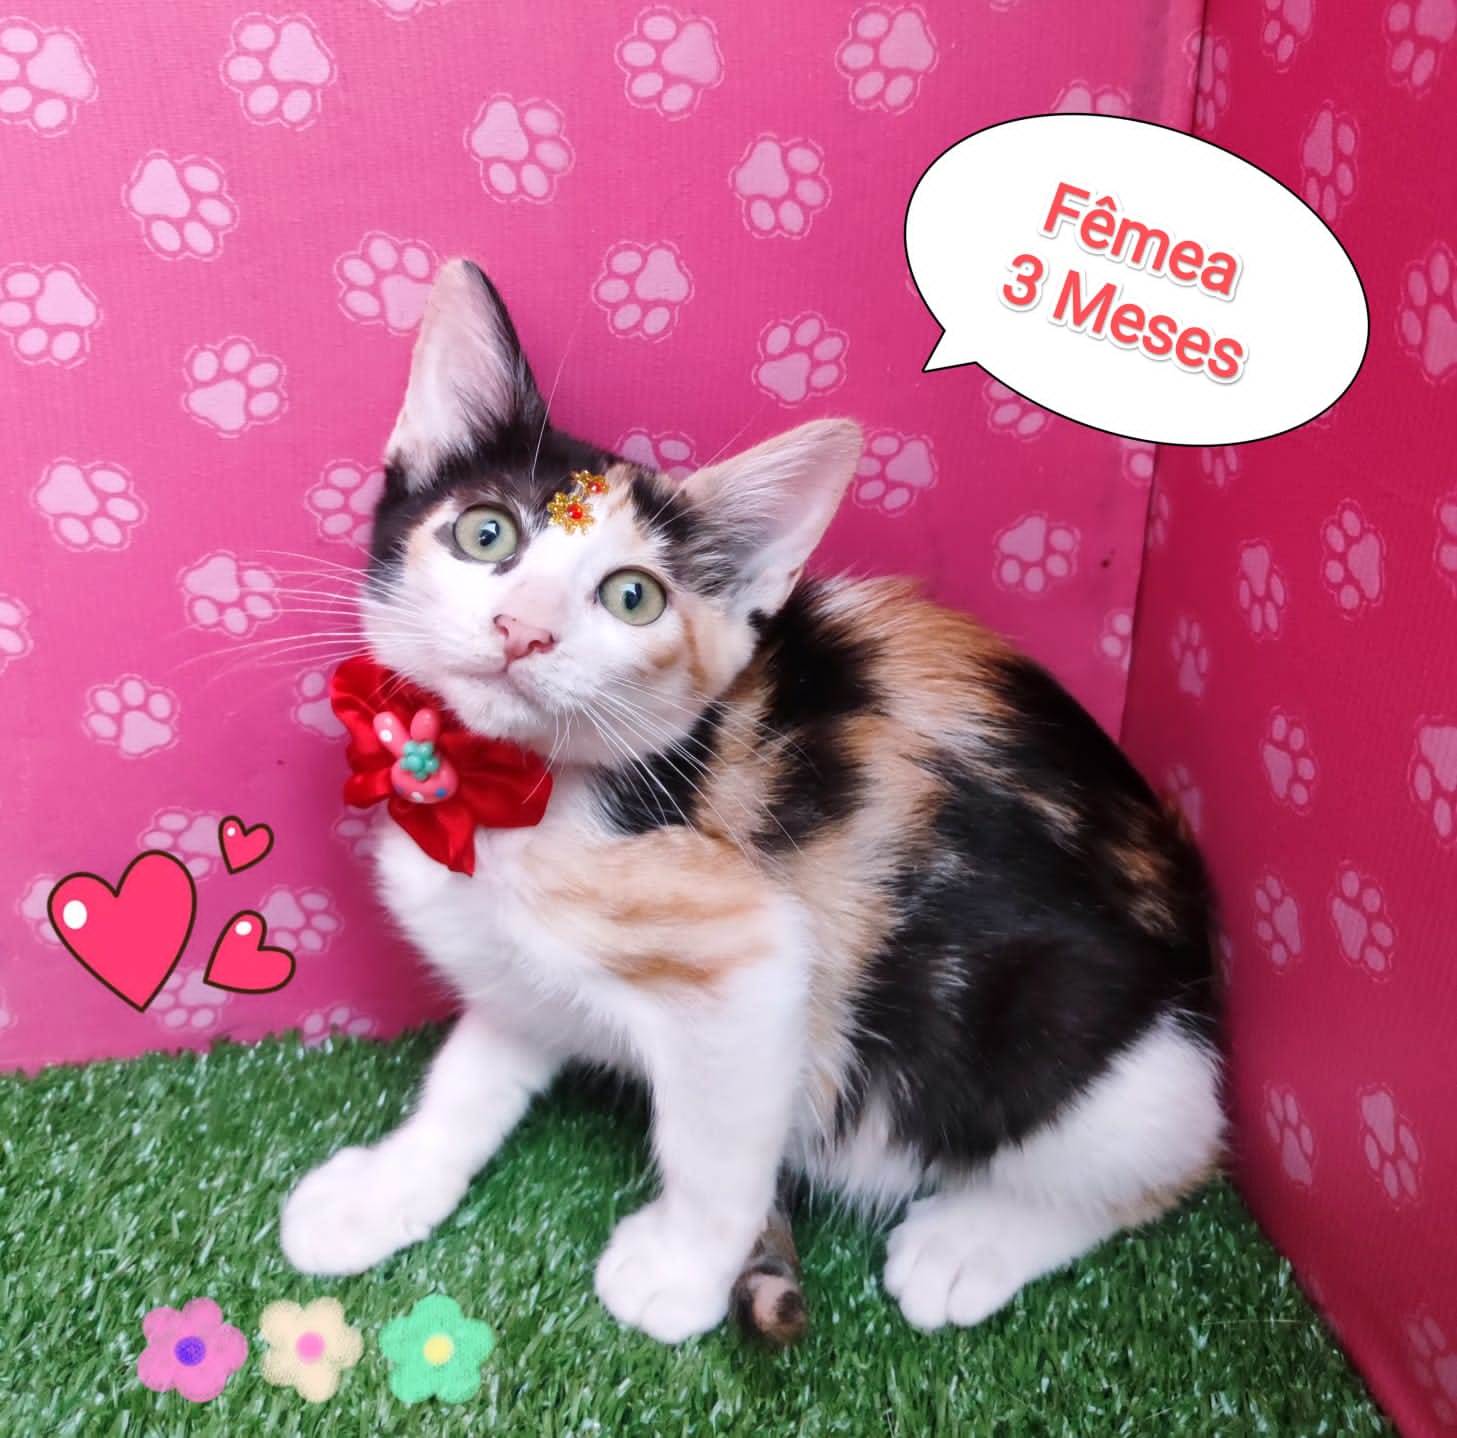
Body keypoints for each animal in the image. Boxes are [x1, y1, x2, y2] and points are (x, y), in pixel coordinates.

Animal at [280, 259, 1223, 1346]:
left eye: (632, 597)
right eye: (485, 534)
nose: (522, 630)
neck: (504, 789)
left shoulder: (755, 958)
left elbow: (713, 1143)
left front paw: (680, 1268)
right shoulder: (516, 965)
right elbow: (470, 1074)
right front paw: (386, 1188)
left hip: (1068, 1037)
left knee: (1164, 1160)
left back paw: (970, 1244)